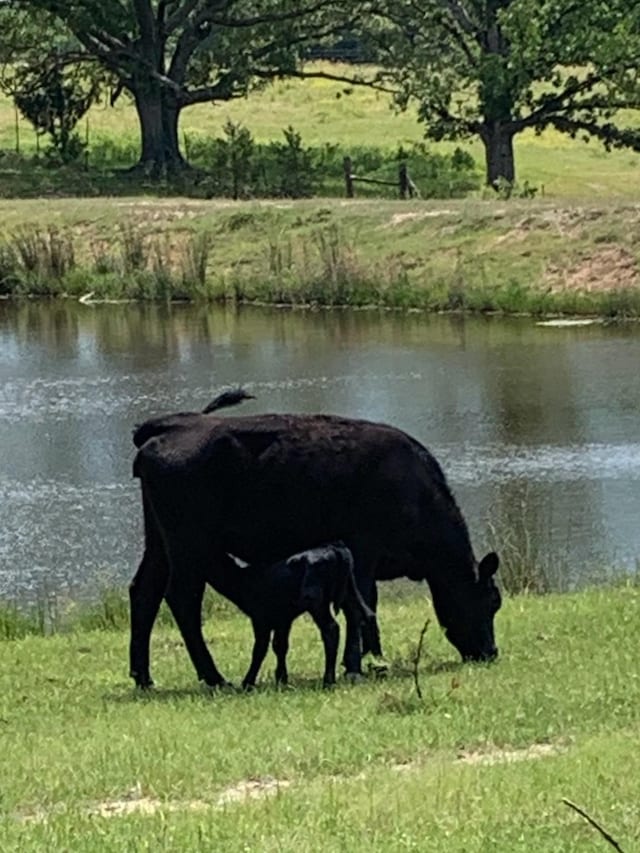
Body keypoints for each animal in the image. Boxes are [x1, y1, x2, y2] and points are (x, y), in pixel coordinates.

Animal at [205, 544, 378, 688]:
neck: (245, 578)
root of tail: (334, 548)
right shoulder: (283, 619)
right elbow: (280, 646)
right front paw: (281, 679)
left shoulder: (260, 618)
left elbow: (260, 649)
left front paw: (248, 682)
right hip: (350, 592)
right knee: (360, 614)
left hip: (315, 601)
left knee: (331, 629)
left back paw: (328, 680)